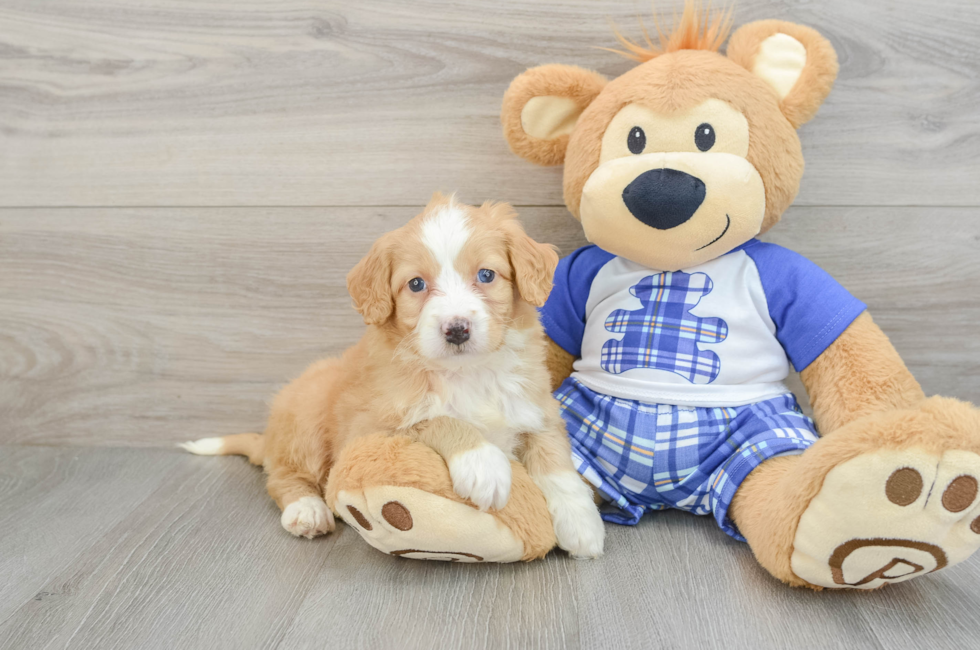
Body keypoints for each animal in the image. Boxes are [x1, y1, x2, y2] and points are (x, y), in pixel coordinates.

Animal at [179, 192, 600, 556]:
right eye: (415, 284)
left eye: (486, 275)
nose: (457, 330)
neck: (467, 374)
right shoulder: (371, 427)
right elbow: (438, 418)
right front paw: (483, 463)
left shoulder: (535, 406)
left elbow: (555, 459)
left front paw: (581, 523)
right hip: (306, 417)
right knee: (284, 476)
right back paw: (307, 510)